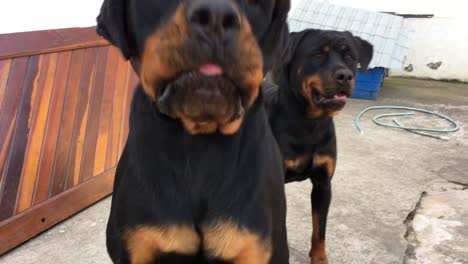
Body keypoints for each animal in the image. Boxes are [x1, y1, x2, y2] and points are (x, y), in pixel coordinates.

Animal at [266, 28, 374, 264]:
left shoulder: (323, 184)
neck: (309, 124)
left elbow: (319, 230)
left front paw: (319, 258)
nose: (345, 75)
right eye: (316, 54)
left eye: (349, 56)